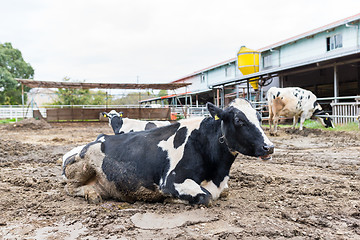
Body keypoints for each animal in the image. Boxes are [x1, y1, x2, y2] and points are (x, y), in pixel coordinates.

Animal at [63, 98, 274, 205]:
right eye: (239, 120)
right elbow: (205, 197)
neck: (218, 172)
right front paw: (172, 200)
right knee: (70, 188)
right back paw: (91, 195)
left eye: (259, 117)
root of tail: (99, 138)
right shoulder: (171, 181)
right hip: (84, 164)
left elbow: (223, 192)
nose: (269, 147)